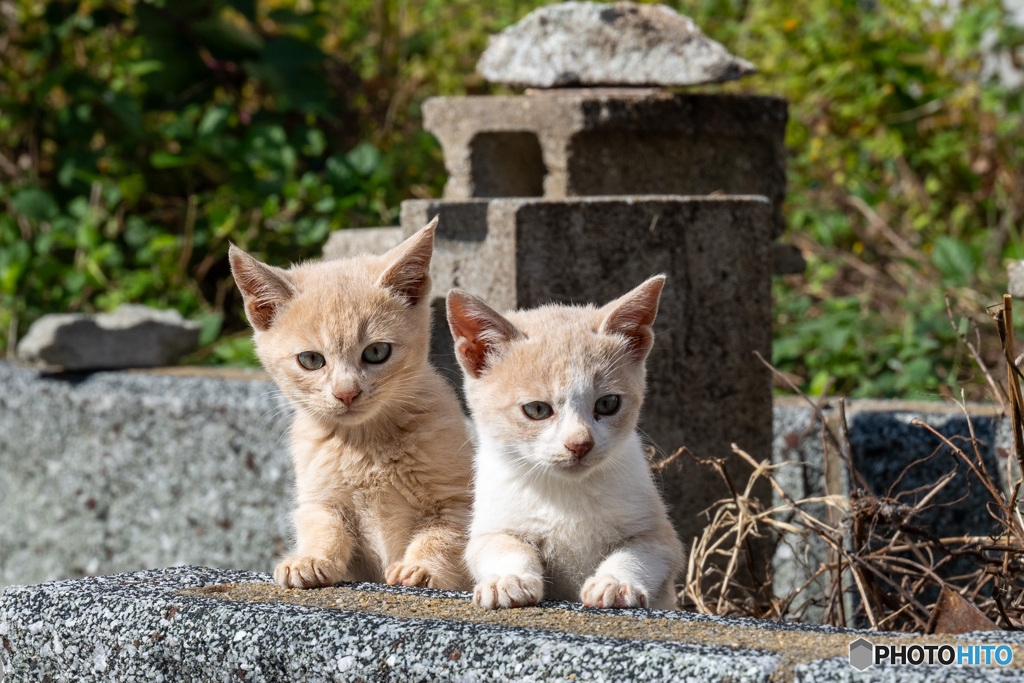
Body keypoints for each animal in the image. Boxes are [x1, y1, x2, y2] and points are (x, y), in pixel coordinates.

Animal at [229, 220, 471, 593]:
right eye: (311, 360)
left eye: (376, 352)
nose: (346, 393)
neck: (366, 444)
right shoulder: (319, 498)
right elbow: (323, 526)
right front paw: (310, 559)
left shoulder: (458, 501)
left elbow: (443, 536)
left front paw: (421, 568)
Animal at [446, 278, 679, 614]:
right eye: (537, 410)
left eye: (607, 404)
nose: (579, 443)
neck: (567, 496)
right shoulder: (490, 528)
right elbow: (502, 547)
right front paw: (508, 579)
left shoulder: (659, 535)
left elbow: (639, 553)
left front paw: (615, 582)